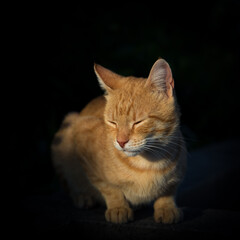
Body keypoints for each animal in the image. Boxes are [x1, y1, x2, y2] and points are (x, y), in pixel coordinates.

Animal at [51, 59, 188, 224]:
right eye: (112, 122)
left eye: (138, 122)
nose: (121, 141)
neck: (148, 162)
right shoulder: (83, 136)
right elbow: (109, 187)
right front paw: (118, 207)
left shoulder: (178, 170)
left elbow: (169, 190)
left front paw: (166, 207)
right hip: (67, 129)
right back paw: (82, 196)